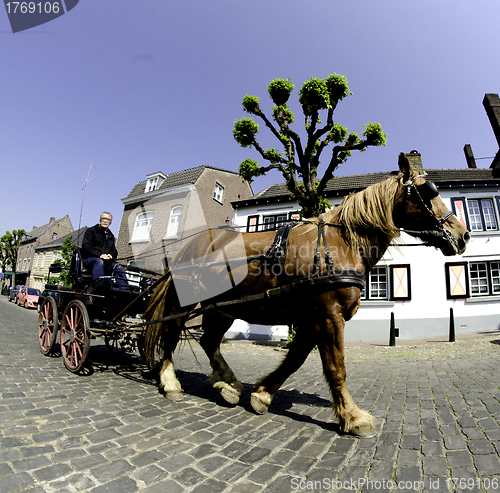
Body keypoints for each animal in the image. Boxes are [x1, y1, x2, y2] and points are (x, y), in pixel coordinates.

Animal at [144, 154, 468, 434]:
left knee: (209, 341)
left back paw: (228, 385)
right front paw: (353, 417)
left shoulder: (314, 318)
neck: (342, 242)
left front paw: (262, 395)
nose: (462, 234)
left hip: (222, 308)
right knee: (171, 333)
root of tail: (189, 245)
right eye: (428, 191)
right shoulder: (328, 316)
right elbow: (336, 367)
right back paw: (171, 382)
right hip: (185, 302)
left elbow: (295, 359)